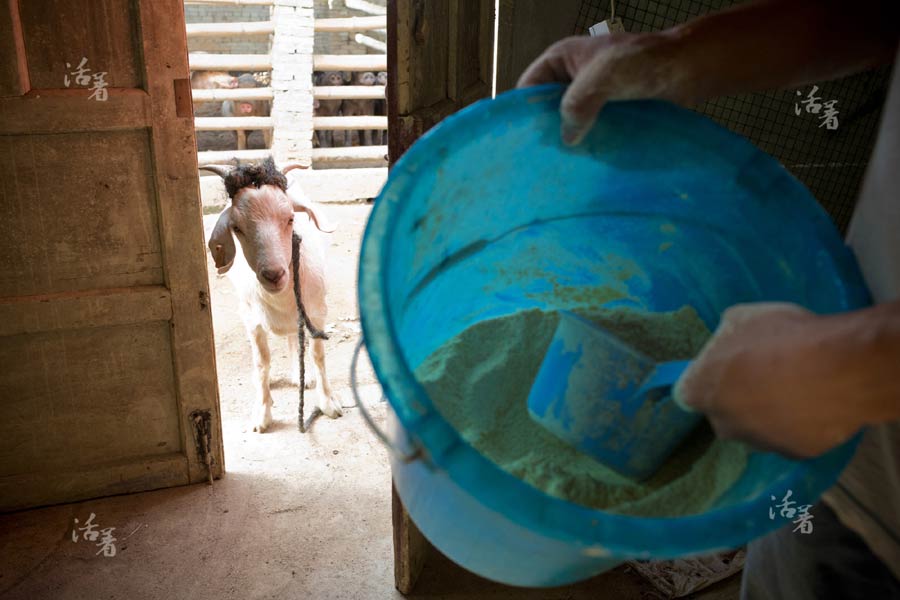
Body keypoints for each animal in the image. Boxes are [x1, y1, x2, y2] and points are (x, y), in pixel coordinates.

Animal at [206, 158, 342, 432]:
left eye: (290, 218)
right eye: (237, 228)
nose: (273, 274)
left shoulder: (318, 313)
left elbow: (318, 355)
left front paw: (328, 403)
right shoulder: (251, 320)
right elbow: (262, 363)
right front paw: (262, 414)